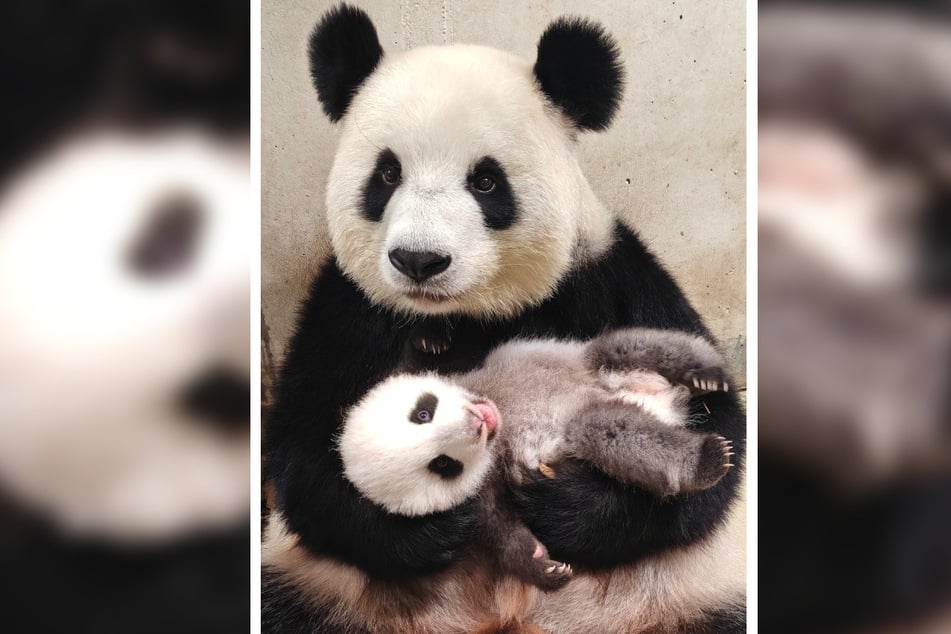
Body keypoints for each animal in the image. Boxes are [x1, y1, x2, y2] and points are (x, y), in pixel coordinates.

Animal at [264, 2, 748, 628]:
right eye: (387, 174)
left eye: (486, 180)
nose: (418, 260)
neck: (472, 313)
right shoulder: (346, 306)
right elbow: (301, 452)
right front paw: (439, 525)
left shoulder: (605, 273)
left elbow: (721, 439)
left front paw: (562, 505)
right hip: (324, 588)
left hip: (688, 585)